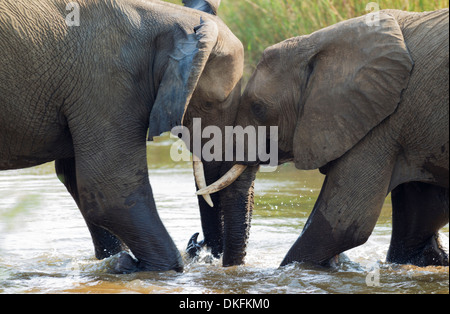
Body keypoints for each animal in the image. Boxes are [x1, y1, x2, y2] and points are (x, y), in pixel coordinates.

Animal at [0, 0, 256, 272]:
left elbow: (77, 180)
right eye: (213, 103)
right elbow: (110, 188)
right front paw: (146, 267)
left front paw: (118, 261)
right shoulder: (106, 81)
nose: (199, 245)